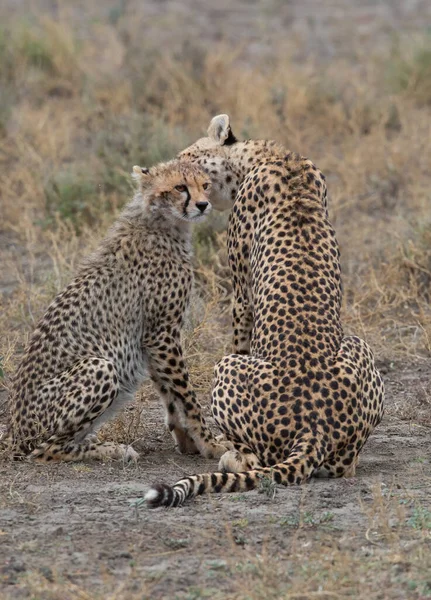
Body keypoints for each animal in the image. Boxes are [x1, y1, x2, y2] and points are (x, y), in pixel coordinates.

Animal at [5, 157, 230, 462]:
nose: (203, 204)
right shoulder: (162, 333)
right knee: (45, 450)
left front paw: (189, 442)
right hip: (99, 367)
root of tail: (14, 433)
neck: (160, 221)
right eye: (180, 187)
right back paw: (112, 449)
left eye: (205, 185)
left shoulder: (152, 339)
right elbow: (186, 395)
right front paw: (210, 444)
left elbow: (170, 394)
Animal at [144, 113, 384, 506]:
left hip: (227, 368)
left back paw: (230, 455)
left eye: (187, 160)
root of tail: (314, 428)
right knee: (345, 466)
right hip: (358, 345)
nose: (173, 182)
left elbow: (240, 336)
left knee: (256, 460)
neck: (274, 157)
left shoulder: (242, 296)